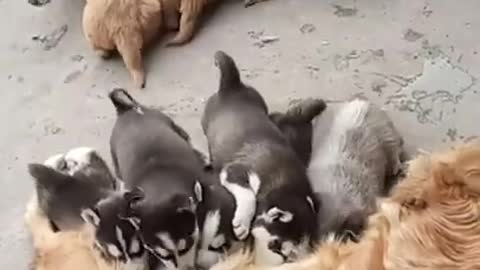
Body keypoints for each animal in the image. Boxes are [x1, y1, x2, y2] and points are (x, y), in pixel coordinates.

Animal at [202, 51, 318, 266]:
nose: (288, 261)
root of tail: (233, 85)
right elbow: (248, 195)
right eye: (276, 246)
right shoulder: (236, 171)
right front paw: (241, 223)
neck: (283, 181)